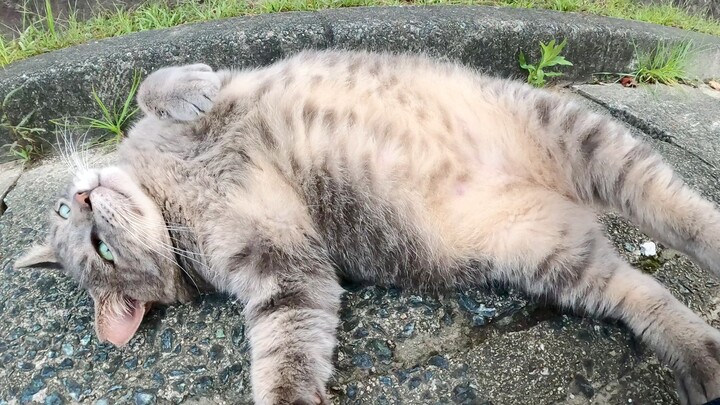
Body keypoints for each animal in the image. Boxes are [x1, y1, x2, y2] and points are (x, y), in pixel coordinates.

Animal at [14, 50, 720, 404]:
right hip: (553, 257)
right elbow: (286, 353)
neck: (170, 191)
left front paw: (188, 89)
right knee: (641, 291)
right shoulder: (287, 271)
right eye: (100, 253)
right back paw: (699, 357)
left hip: (581, 137)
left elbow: (152, 83)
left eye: (76, 223)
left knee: (679, 210)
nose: (81, 195)